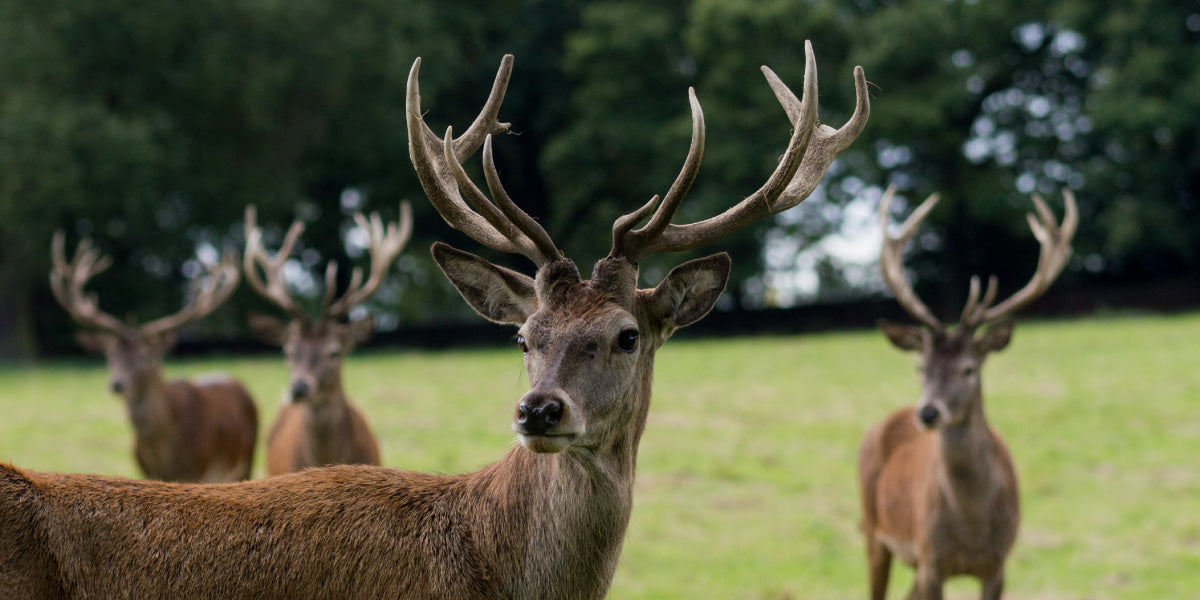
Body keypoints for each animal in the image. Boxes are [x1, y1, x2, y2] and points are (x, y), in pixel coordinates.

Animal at [48, 229, 258, 482]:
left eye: (146, 357)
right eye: (110, 355)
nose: (117, 384)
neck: (164, 455)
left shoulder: (195, 471)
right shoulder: (145, 471)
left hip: (246, 459)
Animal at [859, 186, 1084, 600]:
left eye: (968, 369)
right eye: (920, 367)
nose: (928, 412)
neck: (971, 529)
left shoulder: (998, 564)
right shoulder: (932, 559)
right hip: (872, 528)